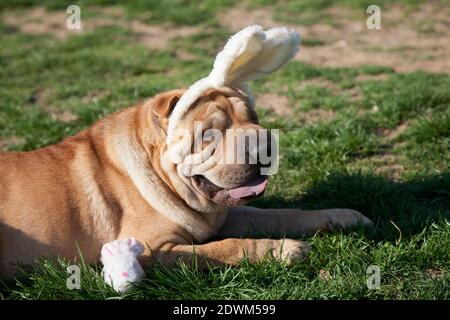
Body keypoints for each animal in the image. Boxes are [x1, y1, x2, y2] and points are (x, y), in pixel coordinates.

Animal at [0, 25, 372, 290]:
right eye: (209, 134)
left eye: (253, 116)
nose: (263, 142)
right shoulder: (152, 250)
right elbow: (222, 248)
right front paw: (282, 251)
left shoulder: (225, 215)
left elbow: (281, 214)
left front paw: (341, 217)